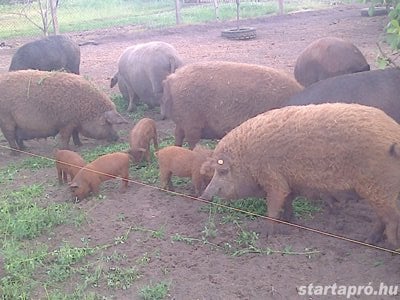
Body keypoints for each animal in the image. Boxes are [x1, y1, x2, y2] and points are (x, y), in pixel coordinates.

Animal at [200, 103, 400, 248]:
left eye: (223, 171)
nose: (203, 196)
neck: (248, 160)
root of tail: (394, 132)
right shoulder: (289, 182)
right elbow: (288, 201)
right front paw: (291, 221)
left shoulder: (273, 178)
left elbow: (273, 205)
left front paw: (267, 234)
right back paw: (369, 240)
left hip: (378, 187)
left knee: (387, 217)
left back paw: (374, 242)